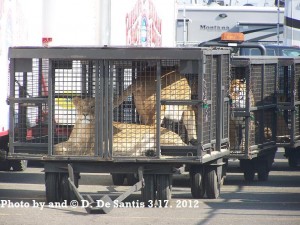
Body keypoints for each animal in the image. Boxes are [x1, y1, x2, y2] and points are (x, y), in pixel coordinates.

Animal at [53, 96, 185, 156]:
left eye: (92, 106)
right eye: (81, 107)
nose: (85, 114)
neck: (82, 127)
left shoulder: (86, 149)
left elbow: (62, 149)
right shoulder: (72, 142)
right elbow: (57, 146)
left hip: (161, 138)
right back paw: (147, 152)